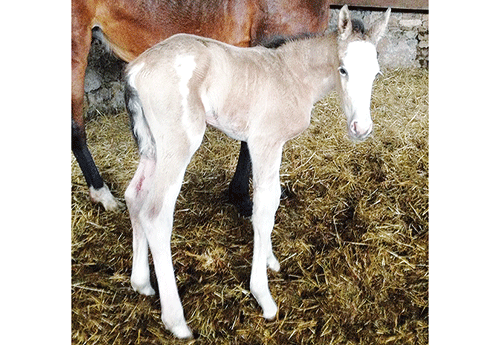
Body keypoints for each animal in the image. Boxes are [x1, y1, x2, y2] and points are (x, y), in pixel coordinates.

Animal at [123, 5, 388, 338]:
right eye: (343, 69)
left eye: (376, 73)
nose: (360, 129)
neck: (291, 75)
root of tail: (136, 69)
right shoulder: (264, 142)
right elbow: (263, 208)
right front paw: (263, 296)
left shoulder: (275, 145)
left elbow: (272, 198)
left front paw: (270, 259)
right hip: (178, 144)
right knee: (156, 214)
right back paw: (177, 321)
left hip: (152, 147)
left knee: (134, 196)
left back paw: (141, 283)